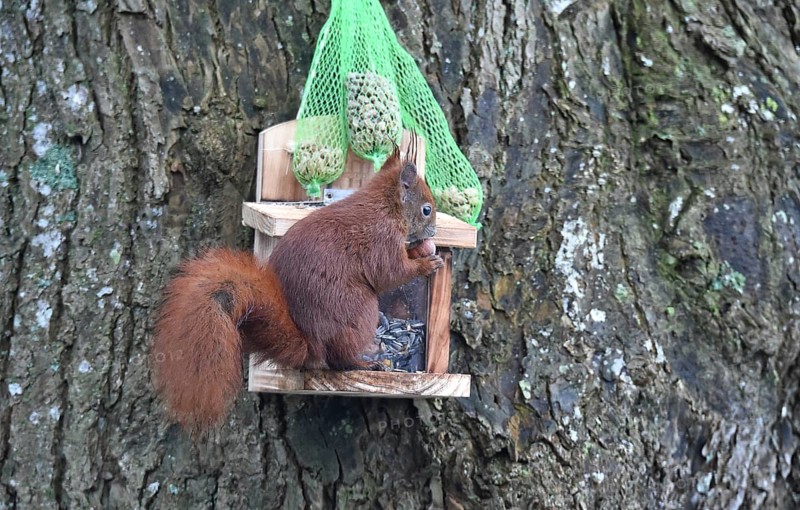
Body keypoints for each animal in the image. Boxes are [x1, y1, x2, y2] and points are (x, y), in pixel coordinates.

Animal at [151, 149, 444, 433]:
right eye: (426, 209)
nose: (433, 232)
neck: (385, 207)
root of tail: (309, 344)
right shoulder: (382, 240)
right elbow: (391, 273)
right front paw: (427, 263)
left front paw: (419, 252)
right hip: (361, 310)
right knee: (339, 359)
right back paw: (364, 363)